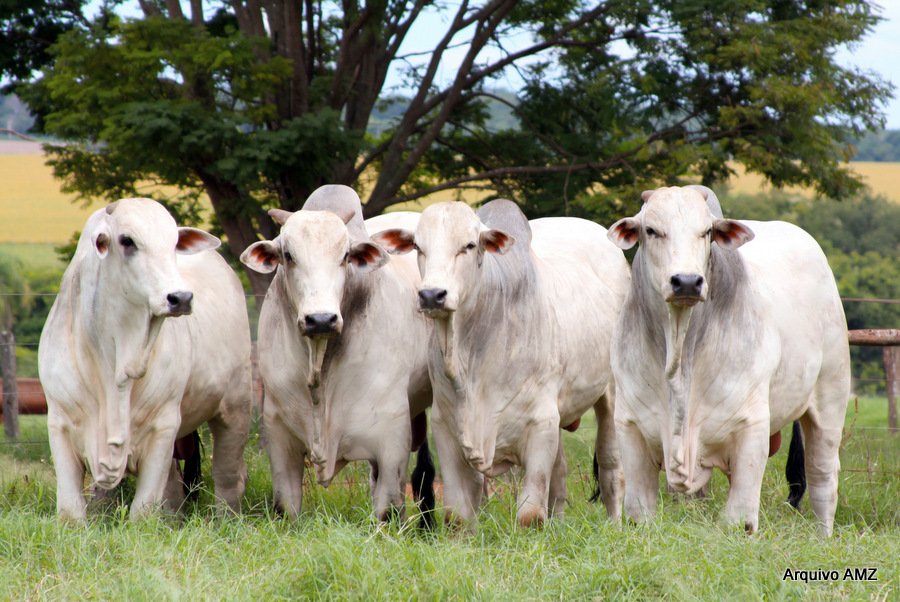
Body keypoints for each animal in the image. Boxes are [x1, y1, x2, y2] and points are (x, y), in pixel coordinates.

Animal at [38, 198, 252, 520]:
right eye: (127, 241)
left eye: (175, 242)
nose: (181, 297)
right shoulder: (60, 422)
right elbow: (70, 510)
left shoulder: (164, 425)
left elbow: (143, 509)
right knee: (174, 488)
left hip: (234, 409)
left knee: (228, 479)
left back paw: (227, 518)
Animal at [240, 185, 435, 526]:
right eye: (288, 255)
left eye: (345, 256)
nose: (321, 319)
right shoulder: (278, 432)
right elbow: (285, 506)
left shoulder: (391, 434)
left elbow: (388, 508)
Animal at [372, 199, 631, 529]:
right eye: (418, 246)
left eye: (469, 245)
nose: (432, 295)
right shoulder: (446, 428)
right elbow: (458, 514)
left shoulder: (541, 425)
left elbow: (530, 514)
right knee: (559, 475)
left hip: (610, 394)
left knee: (612, 468)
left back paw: (616, 525)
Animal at [606, 185, 850, 536]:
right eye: (650, 230)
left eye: (706, 232)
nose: (687, 281)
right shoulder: (629, 427)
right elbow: (640, 513)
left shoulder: (752, 428)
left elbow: (739, 519)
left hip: (830, 398)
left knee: (823, 480)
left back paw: (822, 538)